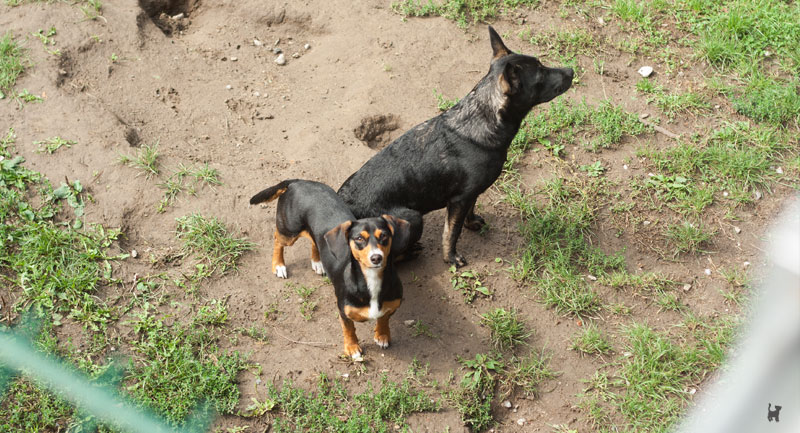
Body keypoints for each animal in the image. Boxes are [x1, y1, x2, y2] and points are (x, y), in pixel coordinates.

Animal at [248, 179, 412, 358]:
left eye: (384, 236)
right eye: (359, 238)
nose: (376, 258)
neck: (371, 279)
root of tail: (297, 181)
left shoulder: (391, 306)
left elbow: (383, 319)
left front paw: (382, 335)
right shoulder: (343, 312)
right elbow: (349, 330)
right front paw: (352, 348)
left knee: (315, 241)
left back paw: (317, 262)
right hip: (289, 232)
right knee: (277, 239)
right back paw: (278, 265)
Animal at [338, 26, 576, 266]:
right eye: (541, 74)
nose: (571, 71)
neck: (482, 116)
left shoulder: (470, 193)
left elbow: (470, 211)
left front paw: (471, 224)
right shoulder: (458, 200)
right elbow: (452, 232)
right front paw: (451, 257)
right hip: (413, 218)